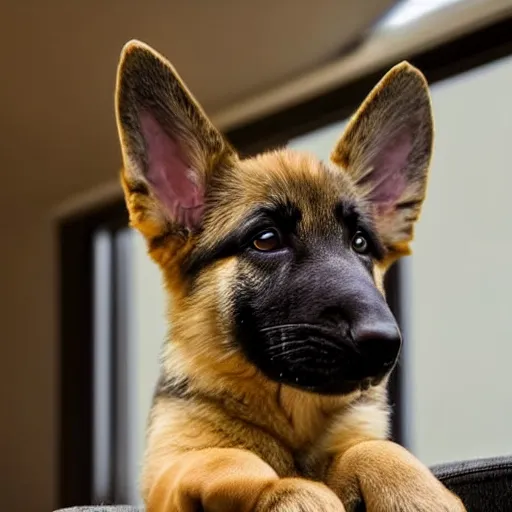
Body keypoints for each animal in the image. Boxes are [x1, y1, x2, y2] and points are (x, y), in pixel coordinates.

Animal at [114, 41, 466, 512]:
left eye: (360, 244)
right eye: (266, 240)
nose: (384, 343)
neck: (292, 419)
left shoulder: (357, 438)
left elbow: (375, 447)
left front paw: (418, 493)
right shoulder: (168, 473)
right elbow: (226, 457)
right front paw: (294, 492)